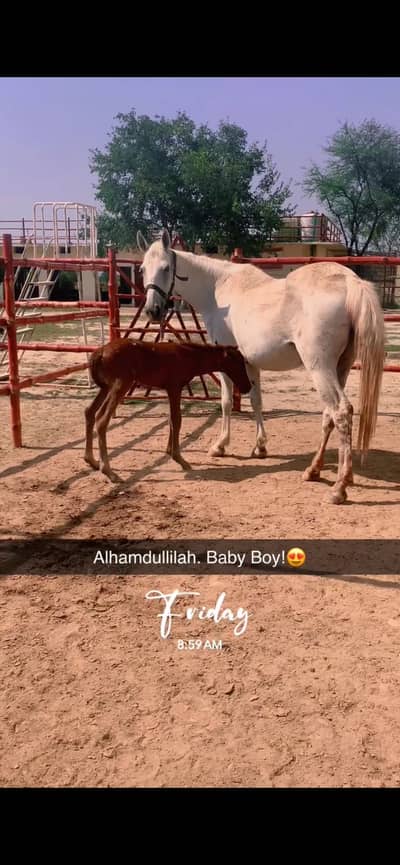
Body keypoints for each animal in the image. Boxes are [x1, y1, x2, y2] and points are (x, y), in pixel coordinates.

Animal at [84, 338, 251, 482]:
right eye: (238, 363)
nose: (247, 387)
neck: (188, 355)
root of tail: (100, 352)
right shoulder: (174, 388)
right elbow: (177, 420)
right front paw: (179, 459)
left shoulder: (171, 390)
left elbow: (172, 419)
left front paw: (169, 452)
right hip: (119, 386)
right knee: (101, 419)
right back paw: (109, 471)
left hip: (106, 388)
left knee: (89, 412)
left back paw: (91, 460)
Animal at [137, 228, 385, 504]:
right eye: (142, 269)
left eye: (166, 267)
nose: (152, 310)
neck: (218, 290)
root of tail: (349, 281)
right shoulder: (250, 363)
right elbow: (256, 401)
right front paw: (260, 447)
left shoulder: (225, 363)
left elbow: (226, 402)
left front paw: (220, 446)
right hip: (340, 367)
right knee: (328, 415)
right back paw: (314, 470)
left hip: (320, 368)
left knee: (341, 412)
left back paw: (339, 487)